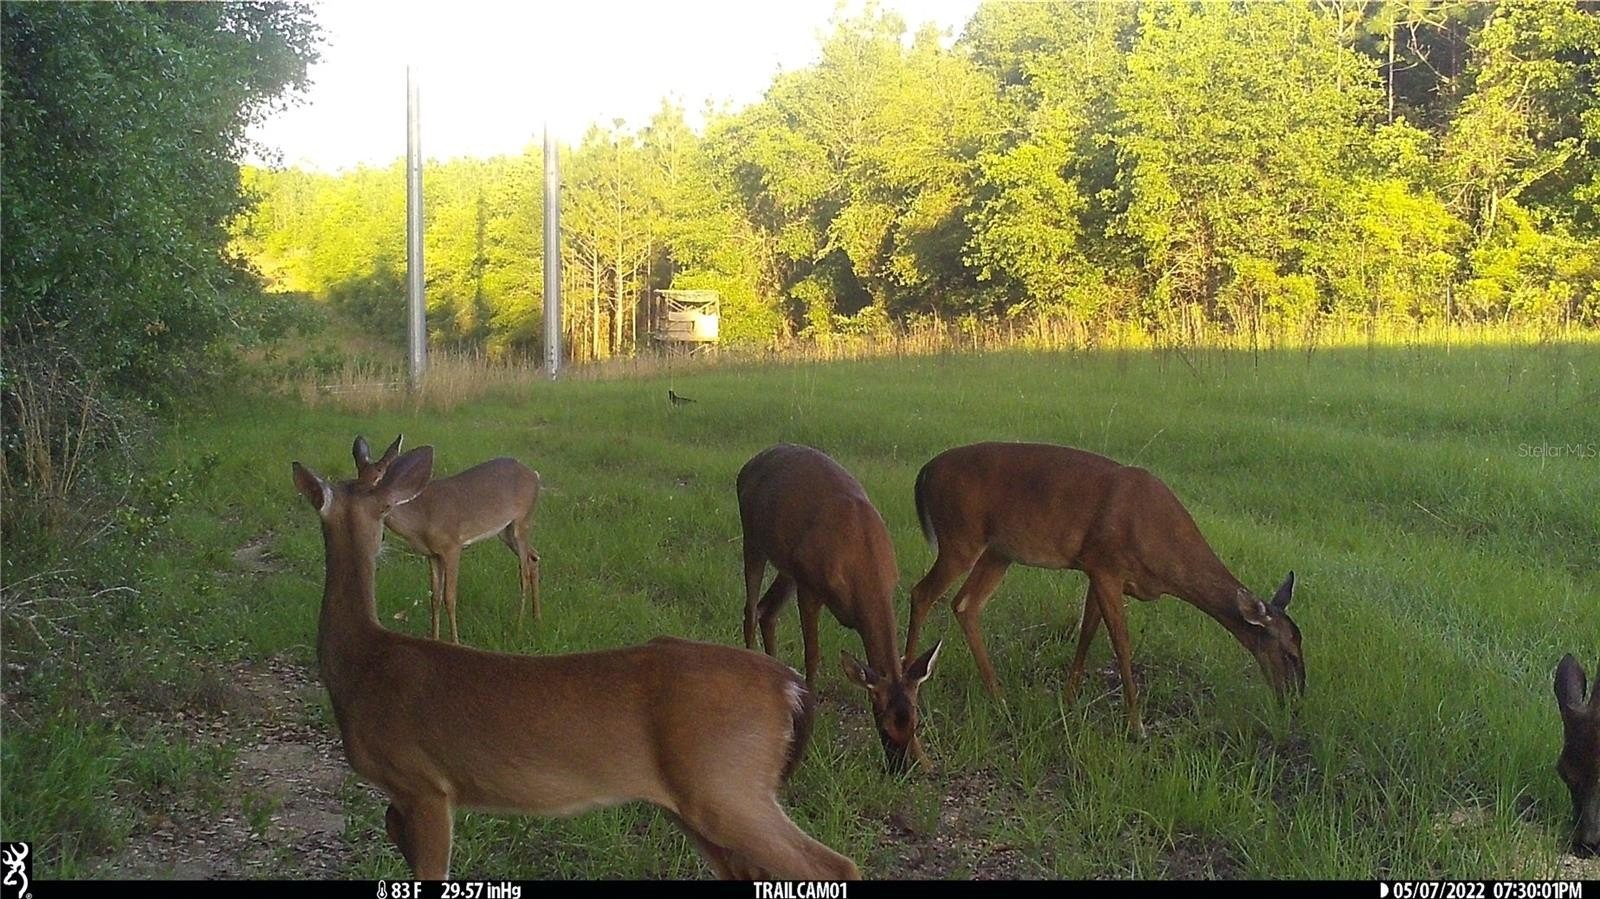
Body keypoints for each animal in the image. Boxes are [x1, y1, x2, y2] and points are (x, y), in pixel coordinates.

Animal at [353, 431, 540, 636]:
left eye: (379, 478)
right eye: (358, 476)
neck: (421, 521)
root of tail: (535, 475)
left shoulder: (453, 546)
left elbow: (449, 598)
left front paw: (454, 640)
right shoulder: (432, 554)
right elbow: (435, 598)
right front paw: (434, 637)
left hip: (522, 521)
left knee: (524, 571)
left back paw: (519, 626)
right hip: (505, 531)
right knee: (534, 557)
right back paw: (536, 619)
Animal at [739, 441, 940, 771]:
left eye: (915, 723)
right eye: (884, 727)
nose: (901, 771)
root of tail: (750, 463)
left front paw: (926, 760)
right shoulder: (810, 589)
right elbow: (813, 656)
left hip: (788, 565)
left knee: (767, 610)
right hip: (754, 540)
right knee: (750, 610)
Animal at [902, 438, 1299, 735]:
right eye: (1290, 653)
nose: (1294, 700)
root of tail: (925, 471)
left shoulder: (1097, 570)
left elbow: (1087, 633)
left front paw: (1068, 700)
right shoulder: (1107, 564)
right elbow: (1121, 644)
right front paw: (1136, 725)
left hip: (999, 551)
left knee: (965, 604)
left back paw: (998, 697)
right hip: (960, 538)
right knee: (921, 593)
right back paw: (909, 681)